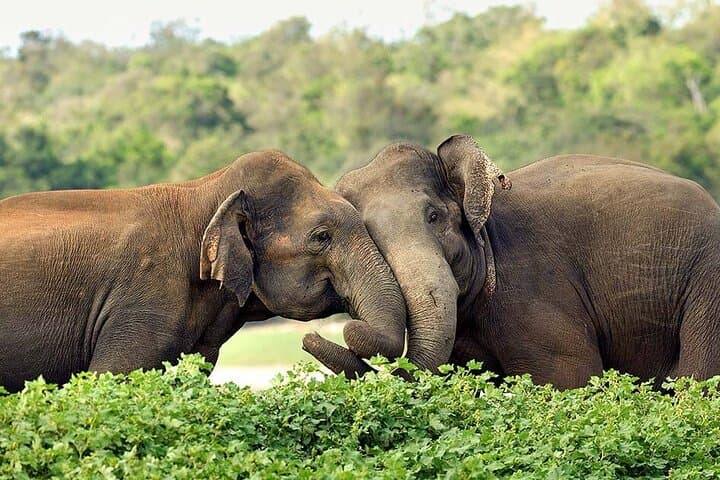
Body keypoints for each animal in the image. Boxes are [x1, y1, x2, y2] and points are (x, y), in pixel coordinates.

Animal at [305, 135, 720, 389]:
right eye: (370, 236)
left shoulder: (534, 291)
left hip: (708, 282)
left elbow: (568, 377)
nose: (311, 337)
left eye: (434, 217)